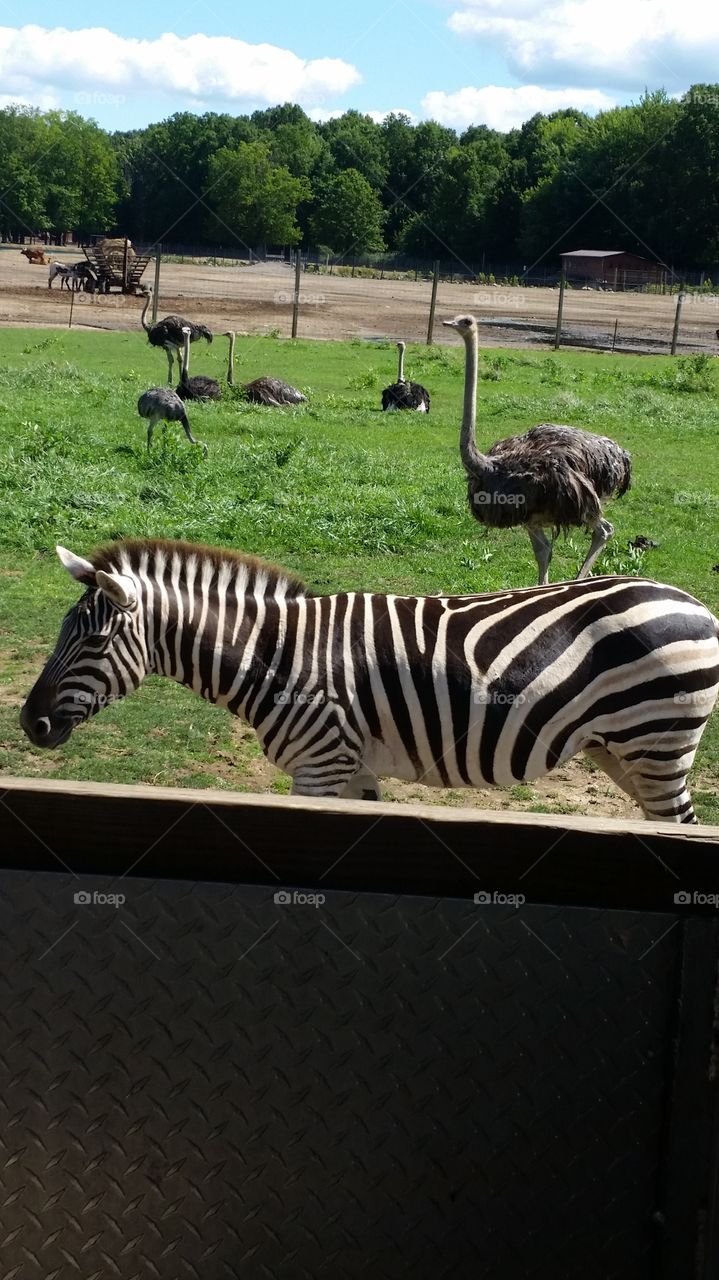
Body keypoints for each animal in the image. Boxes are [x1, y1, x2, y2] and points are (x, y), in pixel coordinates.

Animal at [20, 538, 719, 823]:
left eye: (94, 641)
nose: (31, 722)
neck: (277, 655)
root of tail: (693, 602)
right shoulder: (349, 768)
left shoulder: (319, 767)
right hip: (622, 752)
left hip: (656, 742)